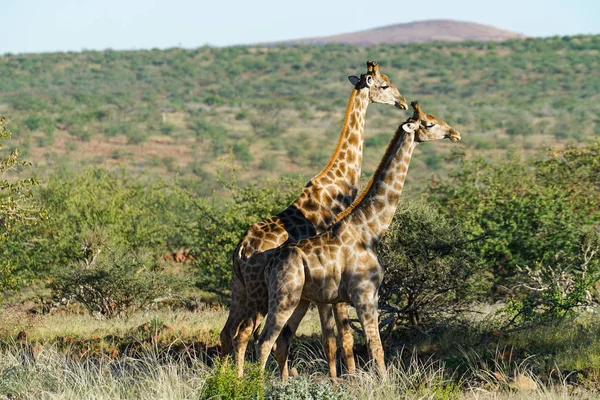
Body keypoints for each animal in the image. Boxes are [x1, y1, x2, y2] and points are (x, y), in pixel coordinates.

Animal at [220, 60, 408, 378]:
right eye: (384, 85)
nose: (403, 102)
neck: (337, 187)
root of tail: (242, 250)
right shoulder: (331, 283)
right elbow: (338, 336)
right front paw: (346, 377)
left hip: (239, 288)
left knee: (227, 331)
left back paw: (222, 376)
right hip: (260, 293)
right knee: (245, 332)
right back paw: (241, 379)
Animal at [256, 101, 460, 376]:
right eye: (429, 123)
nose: (455, 133)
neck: (371, 230)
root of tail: (270, 265)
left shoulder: (362, 297)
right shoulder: (364, 294)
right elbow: (376, 348)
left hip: (300, 300)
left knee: (281, 342)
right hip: (283, 297)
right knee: (264, 342)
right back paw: (249, 383)